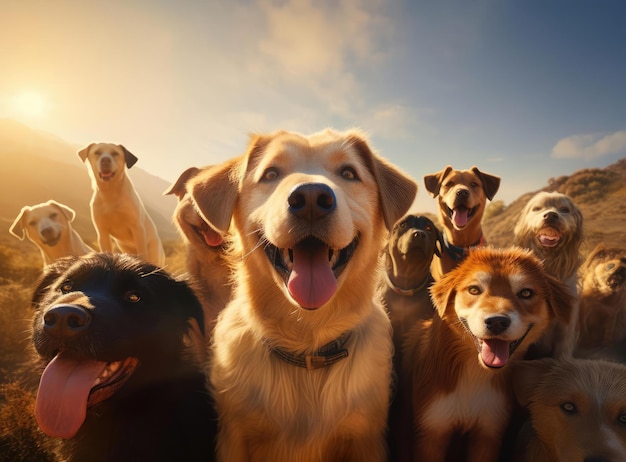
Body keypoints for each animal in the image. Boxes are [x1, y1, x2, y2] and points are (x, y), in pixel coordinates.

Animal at [188, 128, 416, 462]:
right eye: (270, 173)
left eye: (348, 173)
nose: (311, 199)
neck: (307, 344)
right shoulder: (234, 435)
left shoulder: (366, 437)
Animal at [402, 247, 572, 462]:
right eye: (474, 290)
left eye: (526, 293)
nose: (497, 321)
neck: (475, 374)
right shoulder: (432, 432)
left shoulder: (488, 431)